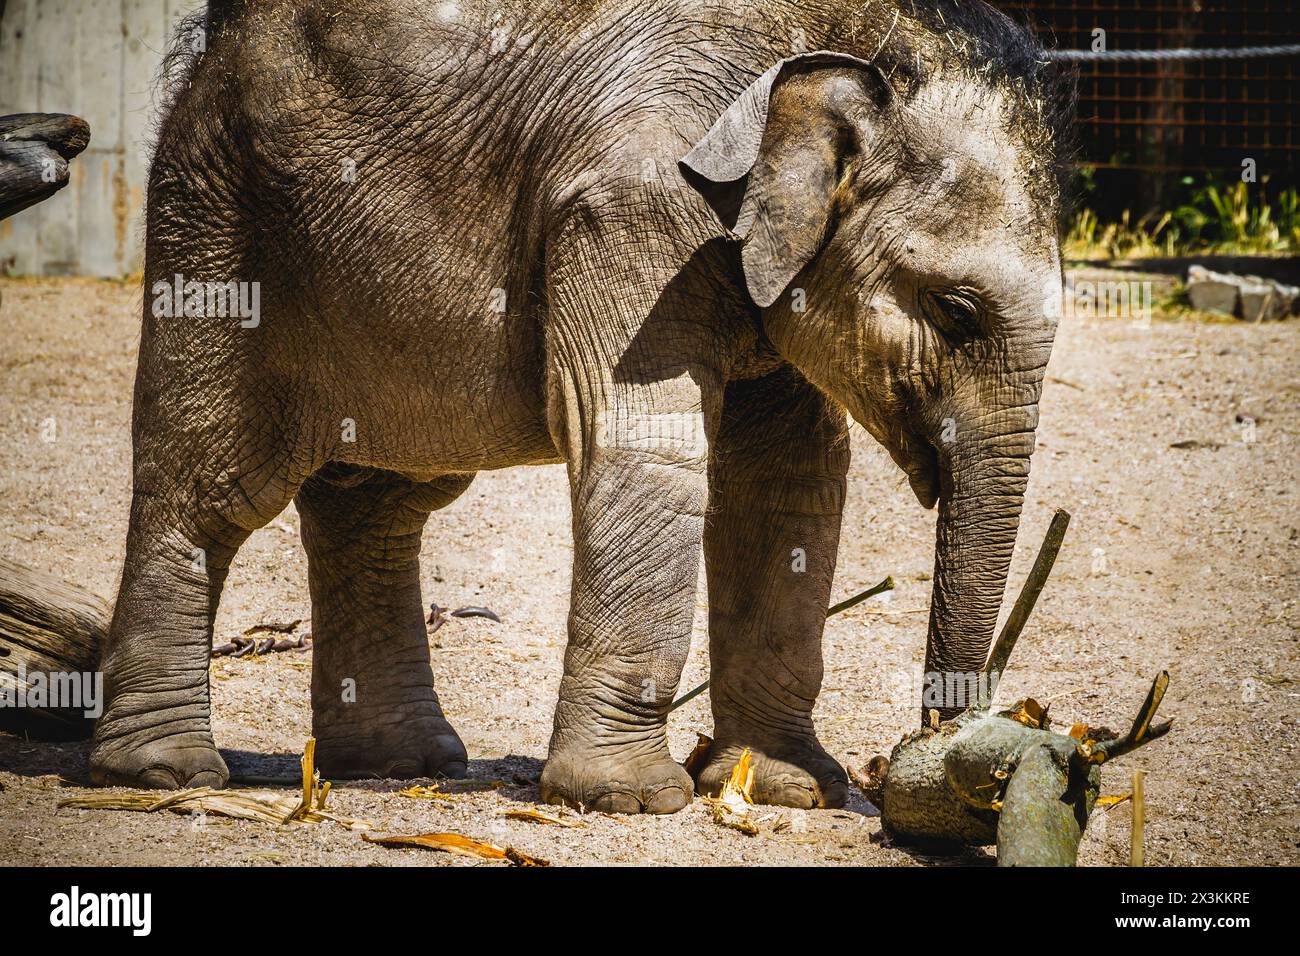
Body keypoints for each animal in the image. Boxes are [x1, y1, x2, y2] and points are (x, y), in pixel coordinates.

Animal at [86, 0, 1071, 816]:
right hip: (218, 224)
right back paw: (164, 773)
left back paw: (402, 765)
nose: (918, 758)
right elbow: (650, 450)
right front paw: (631, 800)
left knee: (380, 500)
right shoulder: (642, 213)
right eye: (956, 311)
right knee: (211, 486)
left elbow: (790, 484)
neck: (843, 31)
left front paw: (786, 789)